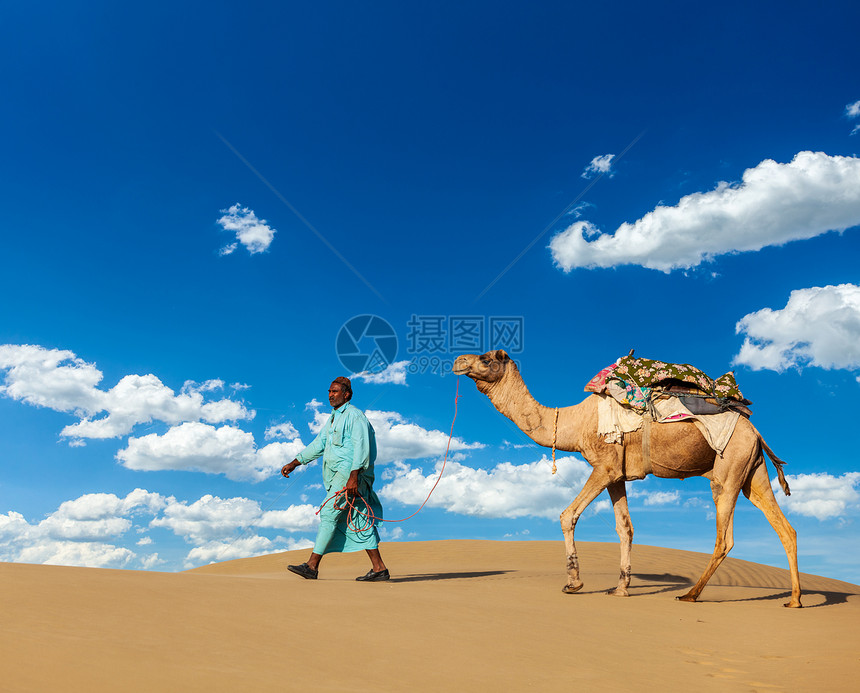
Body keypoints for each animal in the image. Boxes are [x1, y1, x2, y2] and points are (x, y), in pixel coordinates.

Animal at [454, 352, 804, 604]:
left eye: (486, 358)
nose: (459, 361)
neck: (572, 423)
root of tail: (756, 432)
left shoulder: (604, 466)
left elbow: (568, 515)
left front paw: (574, 583)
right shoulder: (617, 475)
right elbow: (626, 528)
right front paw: (621, 588)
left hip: (727, 469)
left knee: (725, 537)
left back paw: (690, 595)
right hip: (752, 473)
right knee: (785, 528)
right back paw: (794, 600)